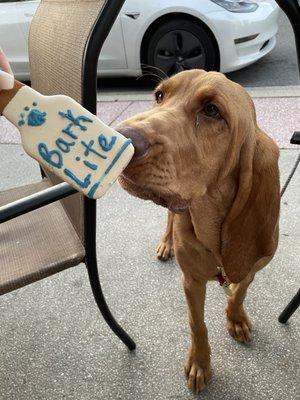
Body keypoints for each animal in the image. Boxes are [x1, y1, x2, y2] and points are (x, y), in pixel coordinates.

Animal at [116, 69, 278, 394]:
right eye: (159, 96)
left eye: (212, 110)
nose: (120, 138)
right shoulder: (191, 281)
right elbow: (197, 324)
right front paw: (200, 364)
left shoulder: (253, 268)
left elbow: (240, 292)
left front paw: (235, 318)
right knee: (169, 216)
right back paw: (166, 243)